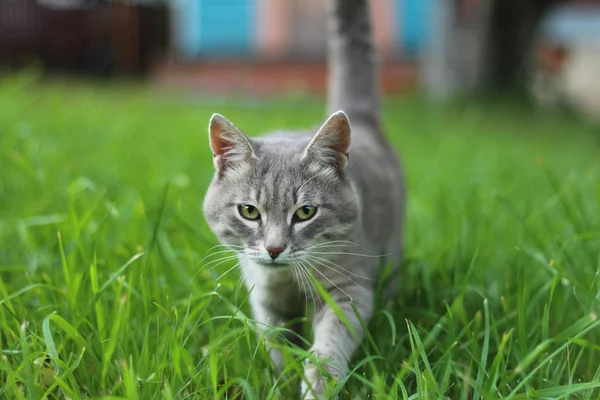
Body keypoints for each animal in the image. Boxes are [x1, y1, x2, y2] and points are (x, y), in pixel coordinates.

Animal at [204, 0, 406, 396]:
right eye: (249, 211)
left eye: (305, 212)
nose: (274, 249)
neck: (287, 281)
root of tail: (363, 118)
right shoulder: (266, 302)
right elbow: (277, 348)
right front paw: (279, 384)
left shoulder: (347, 292)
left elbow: (328, 348)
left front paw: (317, 387)